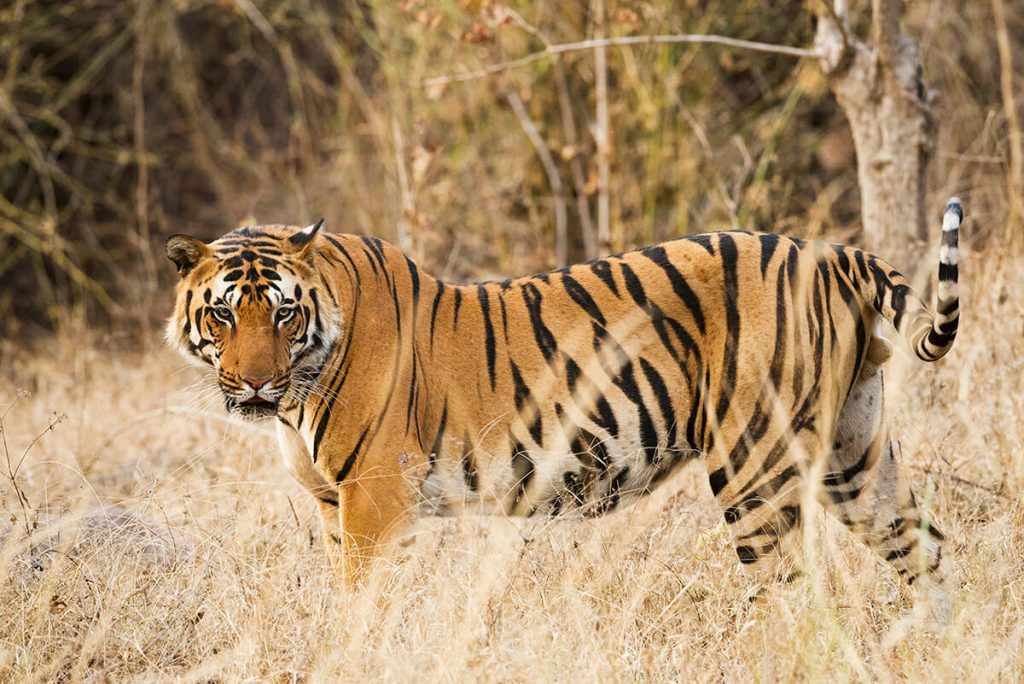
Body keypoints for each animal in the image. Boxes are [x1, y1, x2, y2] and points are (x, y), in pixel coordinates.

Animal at [165, 197, 962, 620]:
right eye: (225, 315)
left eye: (283, 314)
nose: (255, 385)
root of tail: (834, 254)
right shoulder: (334, 503)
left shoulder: (374, 498)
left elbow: (362, 607)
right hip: (855, 456)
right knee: (926, 551)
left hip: (754, 466)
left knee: (796, 598)